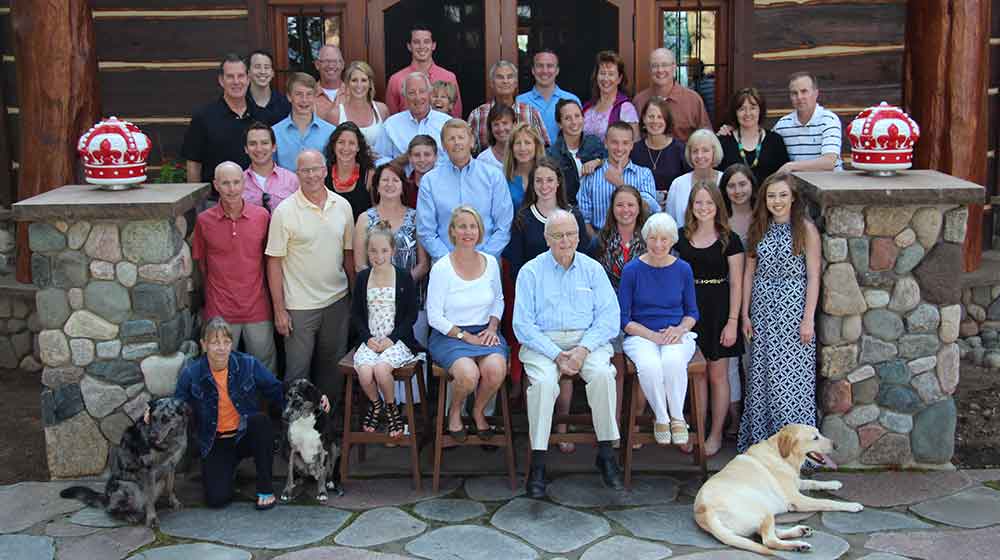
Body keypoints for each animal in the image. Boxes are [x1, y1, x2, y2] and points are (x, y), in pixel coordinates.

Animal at [61, 398, 191, 524]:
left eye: (166, 419)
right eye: (153, 418)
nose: (151, 437)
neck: (171, 440)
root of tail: (106, 498)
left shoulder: (171, 466)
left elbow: (170, 487)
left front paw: (174, 502)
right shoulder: (148, 471)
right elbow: (149, 498)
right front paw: (152, 518)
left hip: (158, 483)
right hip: (128, 486)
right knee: (111, 510)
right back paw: (129, 516)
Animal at [282, 376, 344, 504]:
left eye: (297, 400)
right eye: (287, 398)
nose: (283, 417)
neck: (304, 421)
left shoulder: (323, 450)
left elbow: (322, 472)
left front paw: (322, 493)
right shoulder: (291, 449)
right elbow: (289, 473)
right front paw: (287, 492)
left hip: (335, 447)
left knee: (328, 470)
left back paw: (330, 482)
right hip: (285, 450)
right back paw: (298, 480)